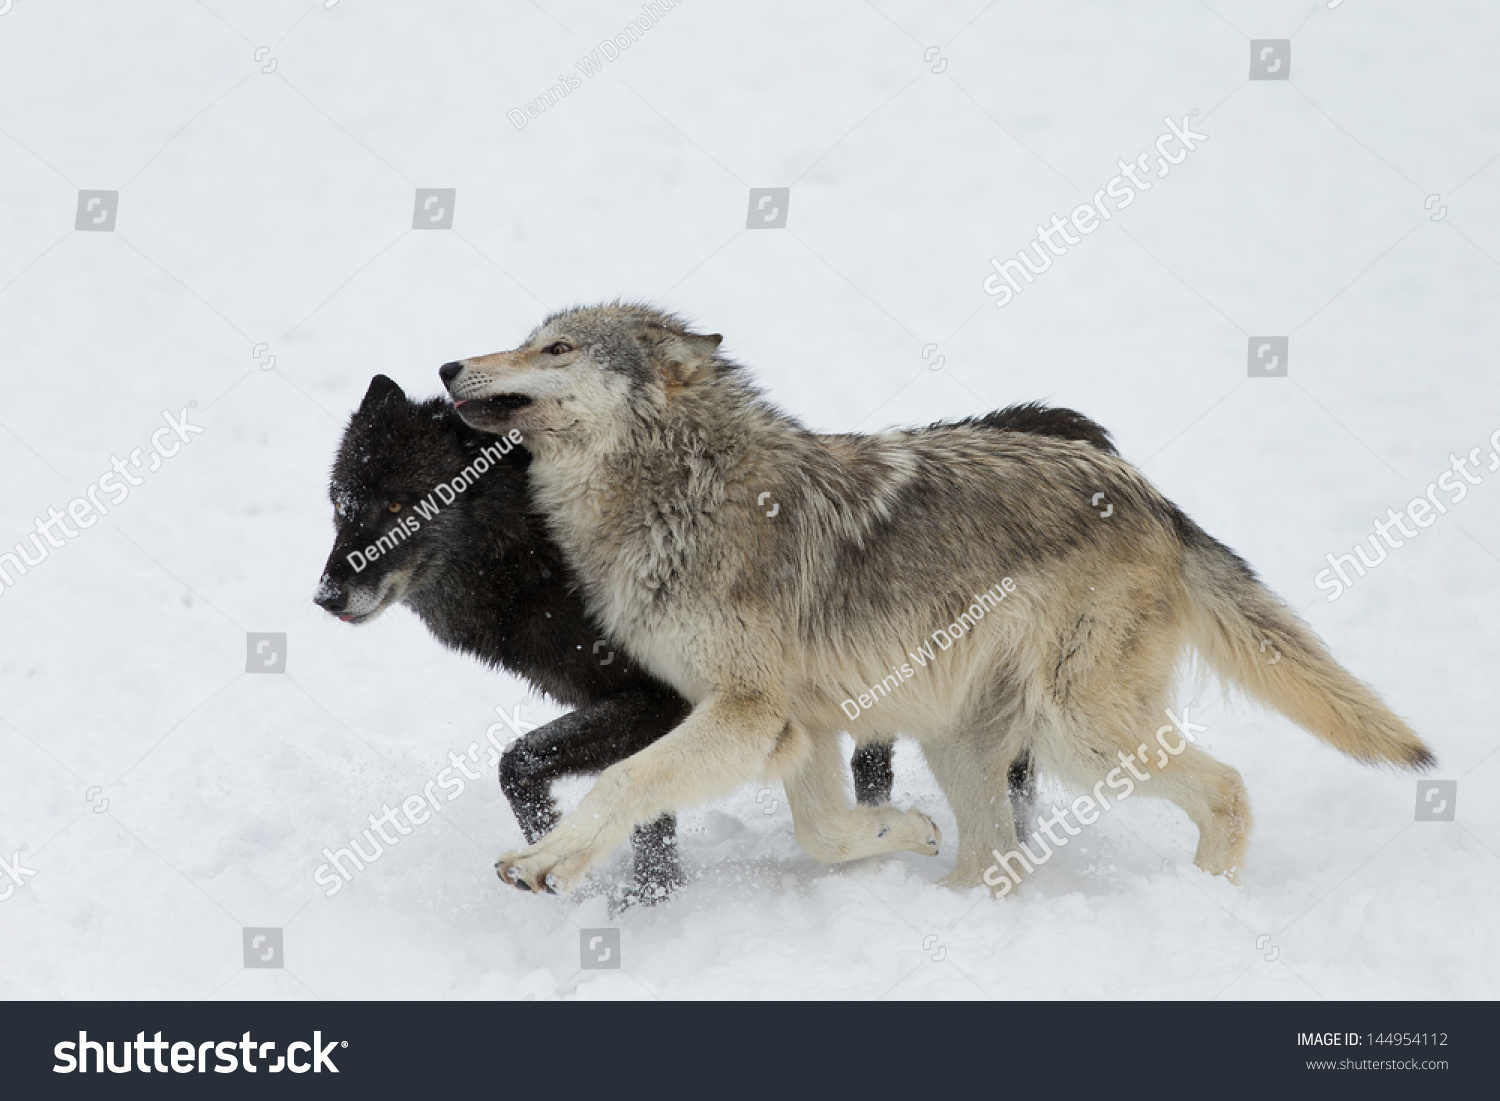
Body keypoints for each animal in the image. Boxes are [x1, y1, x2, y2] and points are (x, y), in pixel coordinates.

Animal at [435, 304, 1428, 900]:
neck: (678, 487)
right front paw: (901, 831)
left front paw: (546, 860)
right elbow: (825, 832)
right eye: (531, 337)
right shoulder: (801, 725)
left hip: (1078, 730)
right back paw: (956, 907)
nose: (447, 366)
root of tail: (1150, 495)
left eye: (555, 347)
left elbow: (626, 782)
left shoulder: (748, 711)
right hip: (967, 738)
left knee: (1226, 788)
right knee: (998, 855)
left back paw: (1207, 896)